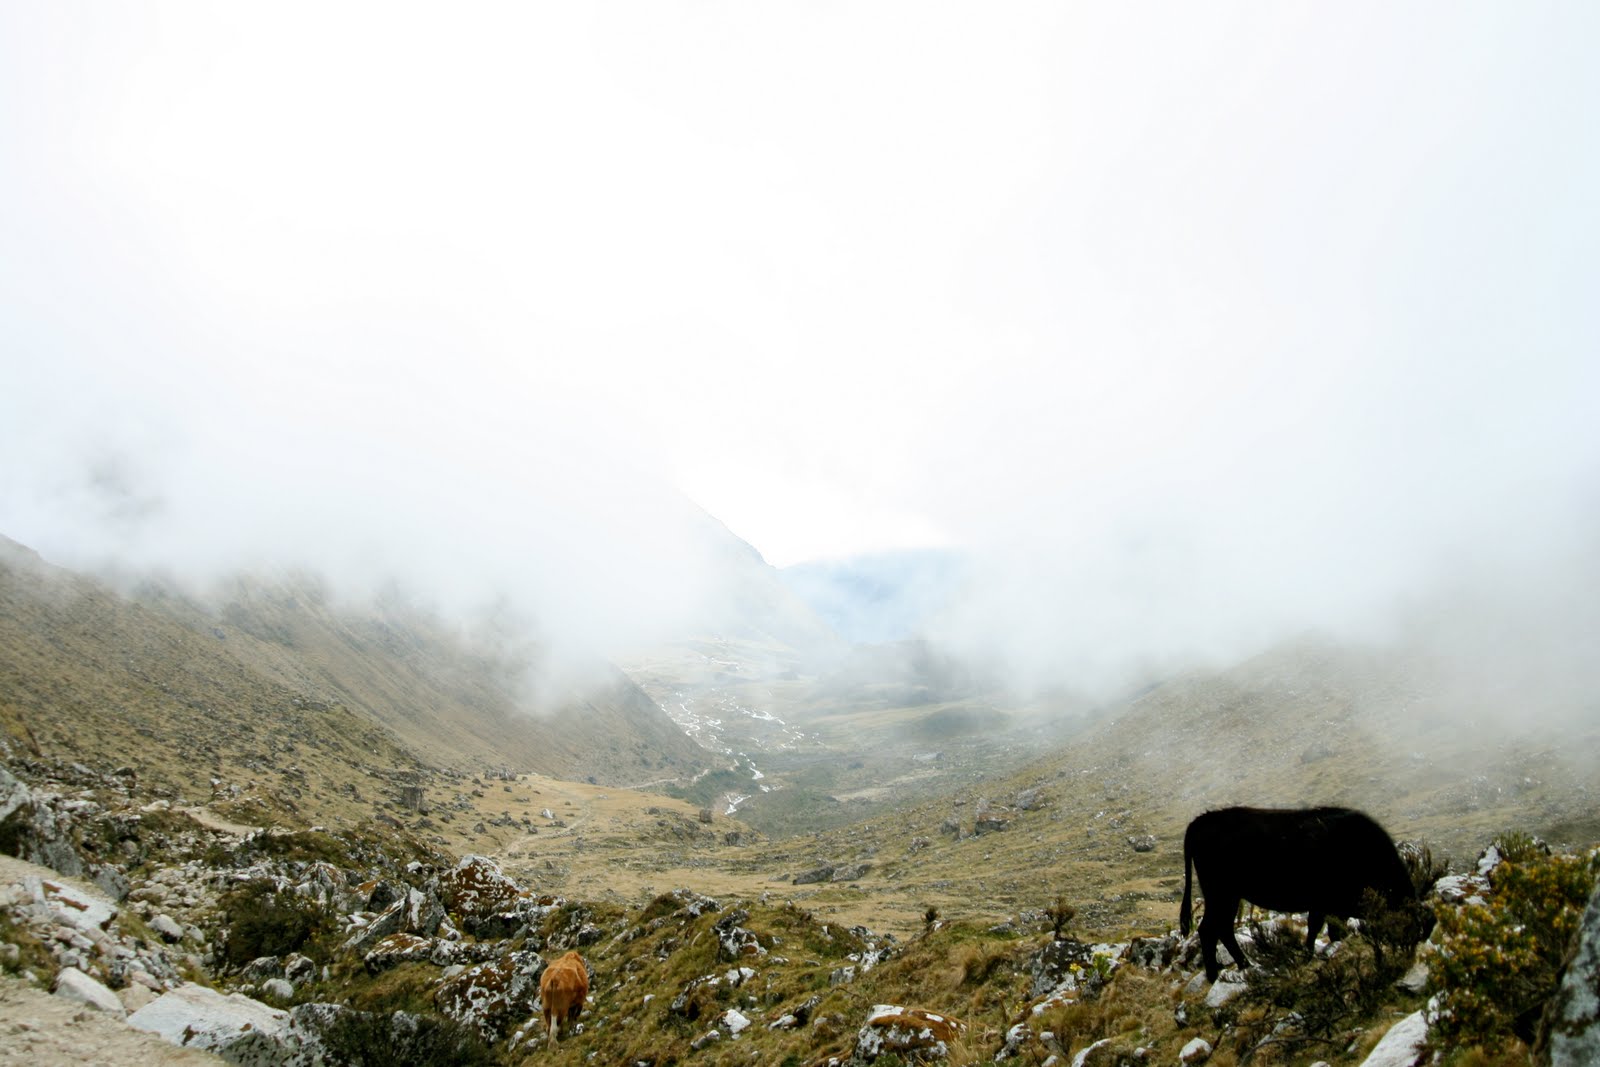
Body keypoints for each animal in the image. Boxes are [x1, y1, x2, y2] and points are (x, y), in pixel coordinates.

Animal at [1179, 805, 1429, 981]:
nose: (1409, 955)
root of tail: (1200, 821)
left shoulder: (1333, 906)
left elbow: (1331, 930)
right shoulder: (1323, 902)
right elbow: (1317, 928)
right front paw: (1309, 956)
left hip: (1227, 895)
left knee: (1220, 929)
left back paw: (1241, 965)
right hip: (1221, 893)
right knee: (1210, 929)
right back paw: (1219, 973)